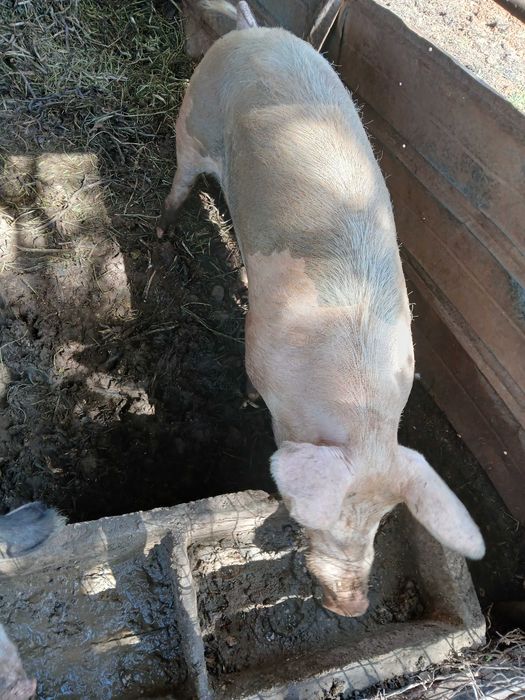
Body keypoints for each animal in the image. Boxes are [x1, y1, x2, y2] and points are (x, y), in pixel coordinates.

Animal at [157, 1, 485, 616]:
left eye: (383, 521)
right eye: (333, 519)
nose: (352, 606)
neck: (357, 414)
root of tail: (253, 33)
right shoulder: (261, 350)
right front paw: (243, 399)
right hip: (194, 115)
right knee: (181, 173)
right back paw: (165, 228)